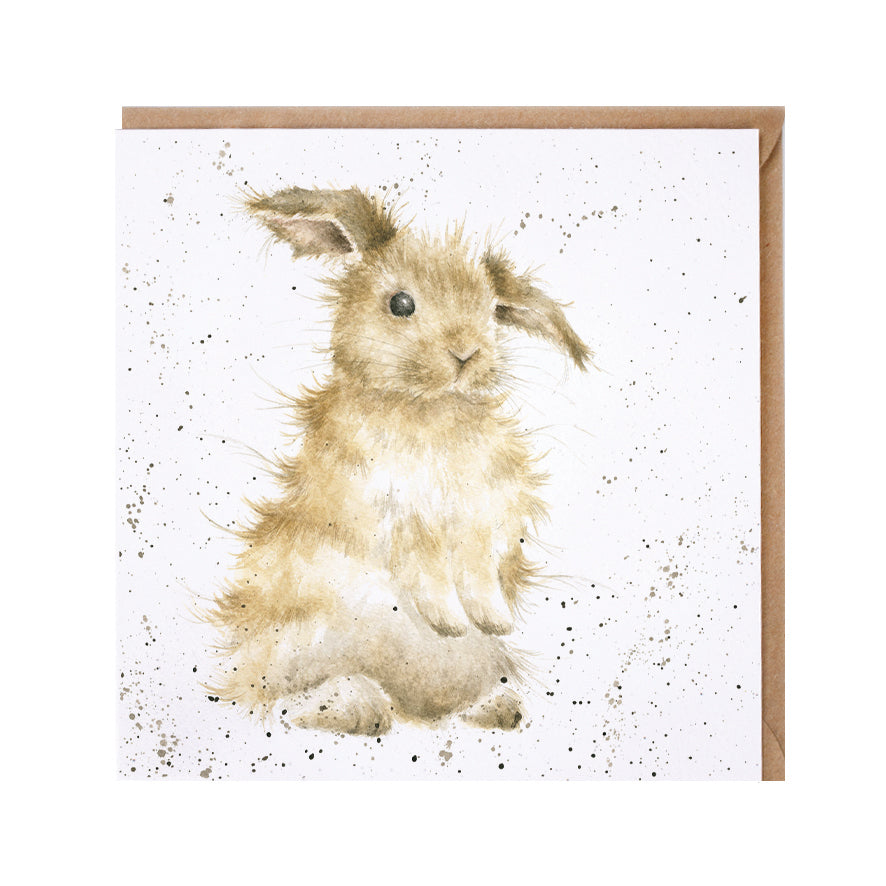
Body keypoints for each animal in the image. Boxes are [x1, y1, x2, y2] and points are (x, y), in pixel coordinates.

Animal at [205, 185, 591, 736]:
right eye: (401, 303)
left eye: (493, 311)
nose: (467, 353)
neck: (425, 408)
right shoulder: (385, 510)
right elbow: (422, 563)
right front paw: (450, 620)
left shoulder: (486, 515)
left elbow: (478, 567)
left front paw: (492, 619)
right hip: (295, 640)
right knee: (278, 697)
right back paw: (352, 706)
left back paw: (495, 707)